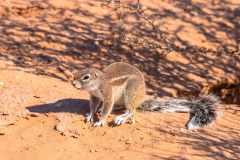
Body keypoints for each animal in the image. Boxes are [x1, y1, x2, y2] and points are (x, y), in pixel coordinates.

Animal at [72, 62, 221, 129]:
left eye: (86, 77)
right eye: (77, 73)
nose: (73, 83)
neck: (98, 83)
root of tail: (140, 97)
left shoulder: (107, 94)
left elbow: (107, 107)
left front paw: (100, 121)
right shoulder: (95, 96)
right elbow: (93, 106)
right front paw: (91, 114)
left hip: (130, 92)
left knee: (131, 110)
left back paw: (121, 117)